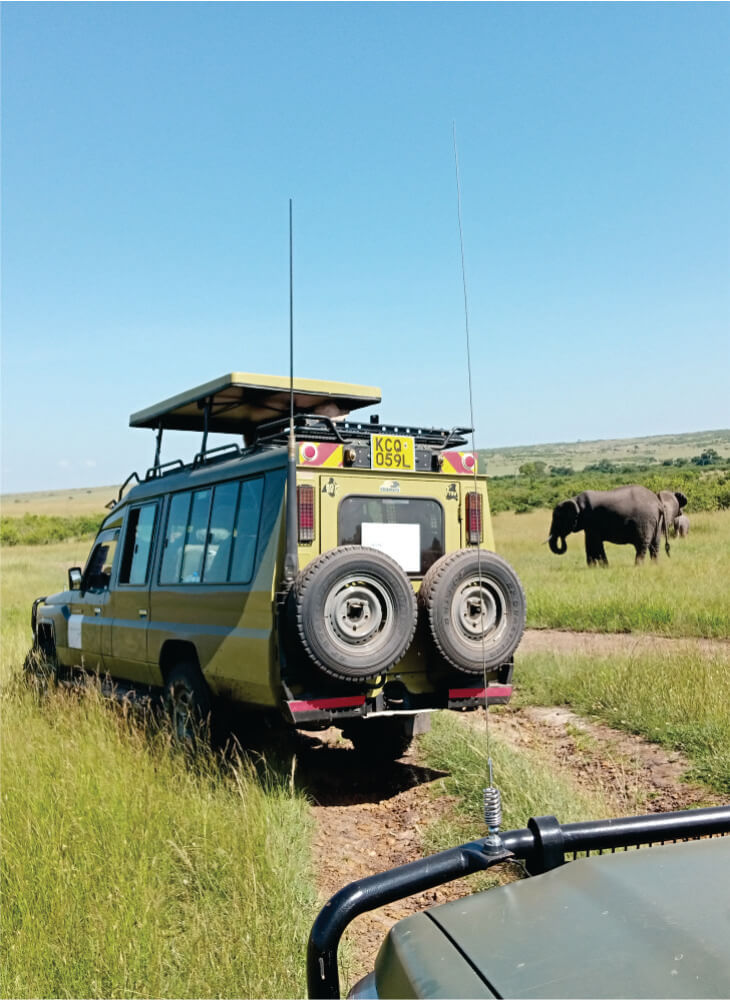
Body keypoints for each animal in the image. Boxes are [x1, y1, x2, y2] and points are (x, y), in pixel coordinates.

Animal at [544, 482, 672, 564]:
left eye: (558, 519)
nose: (562, 537)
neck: (575, 501)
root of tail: (658, 503)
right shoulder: (589, 525)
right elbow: (589, 544)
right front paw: (592, 567)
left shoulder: (592, 520)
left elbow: (595, 543)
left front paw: (603, 567)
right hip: (656, 521)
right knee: (655, 545)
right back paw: (654, 566)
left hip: (644, 521)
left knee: (641, 545)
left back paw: (637, 566)